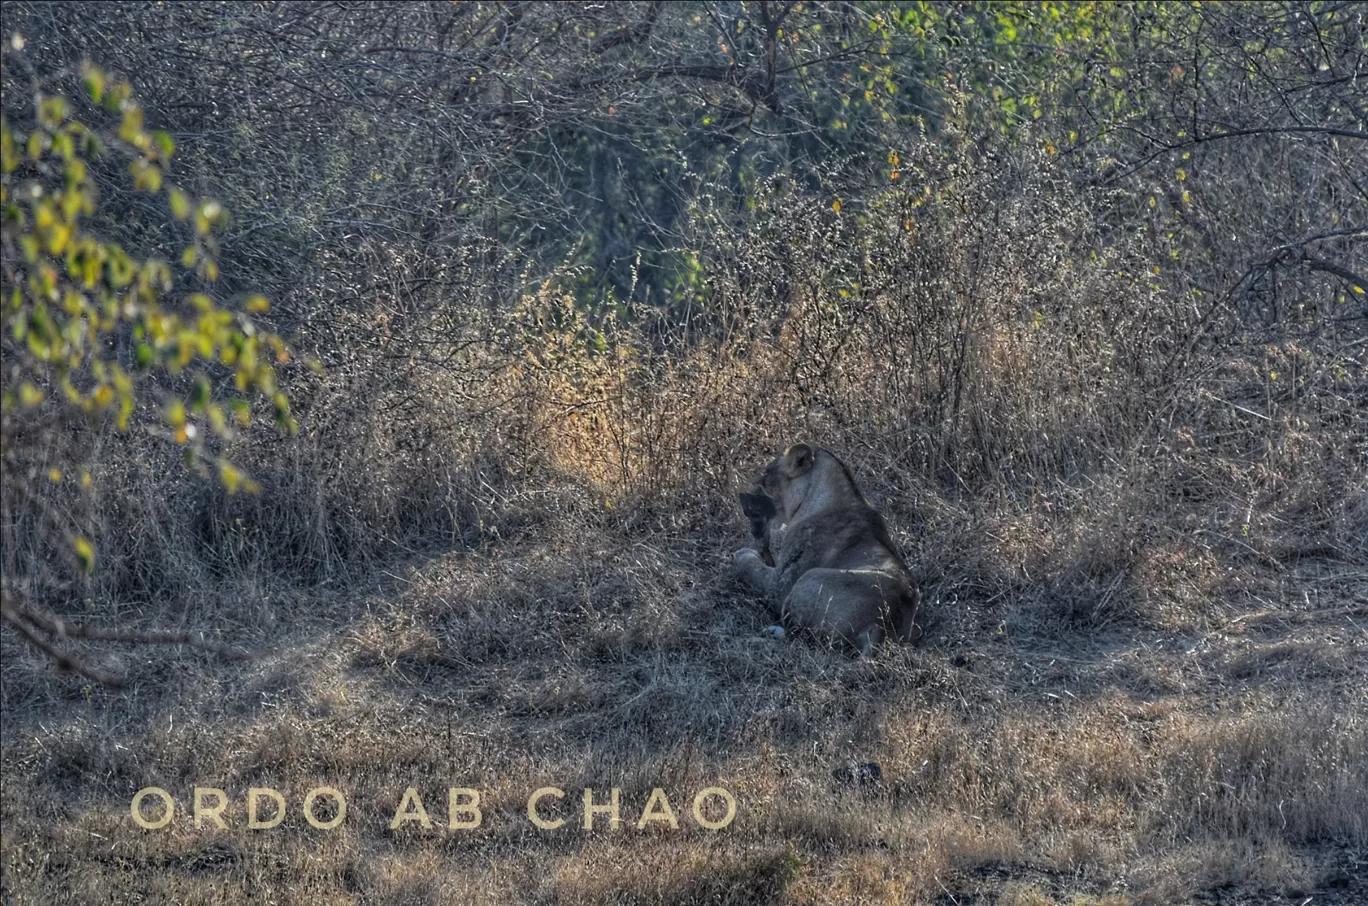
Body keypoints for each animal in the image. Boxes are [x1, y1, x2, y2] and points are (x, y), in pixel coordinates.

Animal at [733, 443, 924, 656]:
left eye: (766, 474)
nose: (744, 499)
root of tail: (880, 627)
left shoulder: (780, 585)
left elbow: (751, 566)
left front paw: (744, 554)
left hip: (809, 578)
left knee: (796, 636)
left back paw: (764, 635)